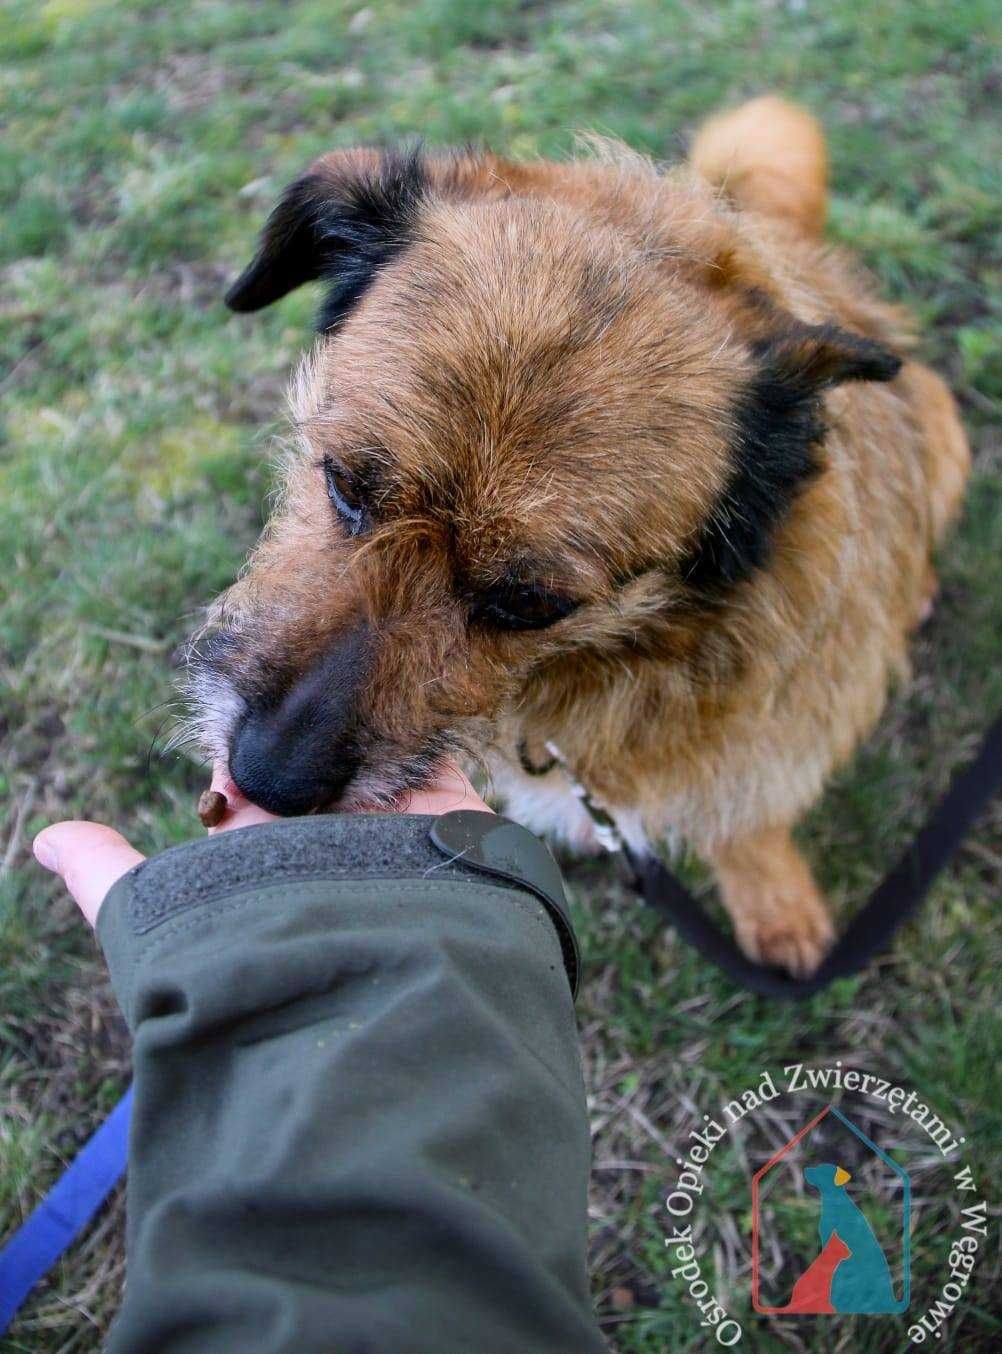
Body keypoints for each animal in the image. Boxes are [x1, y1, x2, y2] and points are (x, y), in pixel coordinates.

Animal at [189, 100, 969, 980]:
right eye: (347, 483)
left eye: (529, 603)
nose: (268, 779)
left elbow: (748, 823)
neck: (608, 660)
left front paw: (776, 906)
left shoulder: (764, 739)